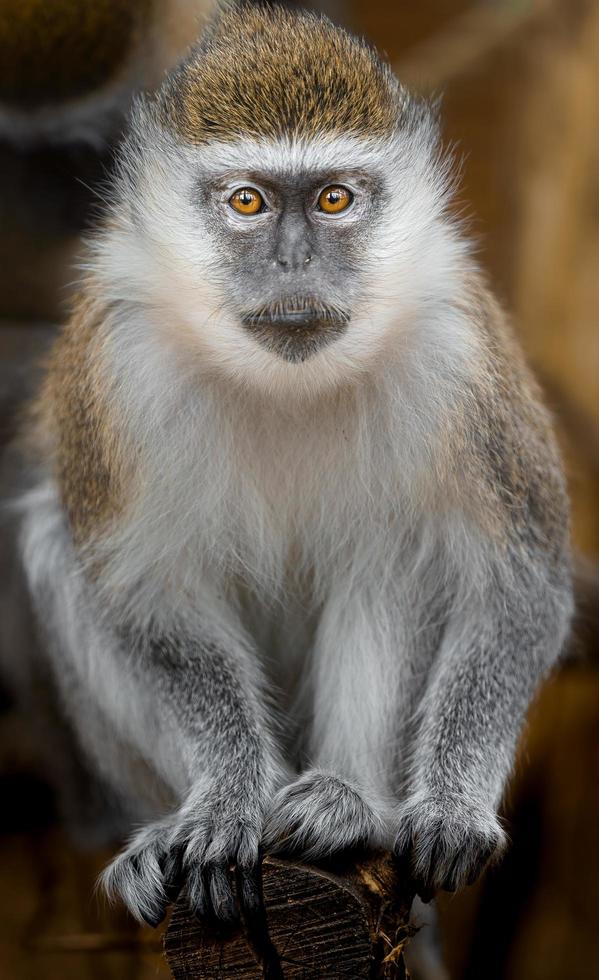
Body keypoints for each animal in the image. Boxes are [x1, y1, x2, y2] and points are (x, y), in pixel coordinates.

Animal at [0, 5, 572, 928]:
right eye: (248, 201)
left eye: (334, 198)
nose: (294, 263)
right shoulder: (115, 361)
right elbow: (142, 592)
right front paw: (225, 799)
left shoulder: (458, 344)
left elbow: (520, 588)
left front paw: (450, 810)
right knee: (56, 544)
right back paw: (165, 832)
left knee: (392, 557)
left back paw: (350, 807)